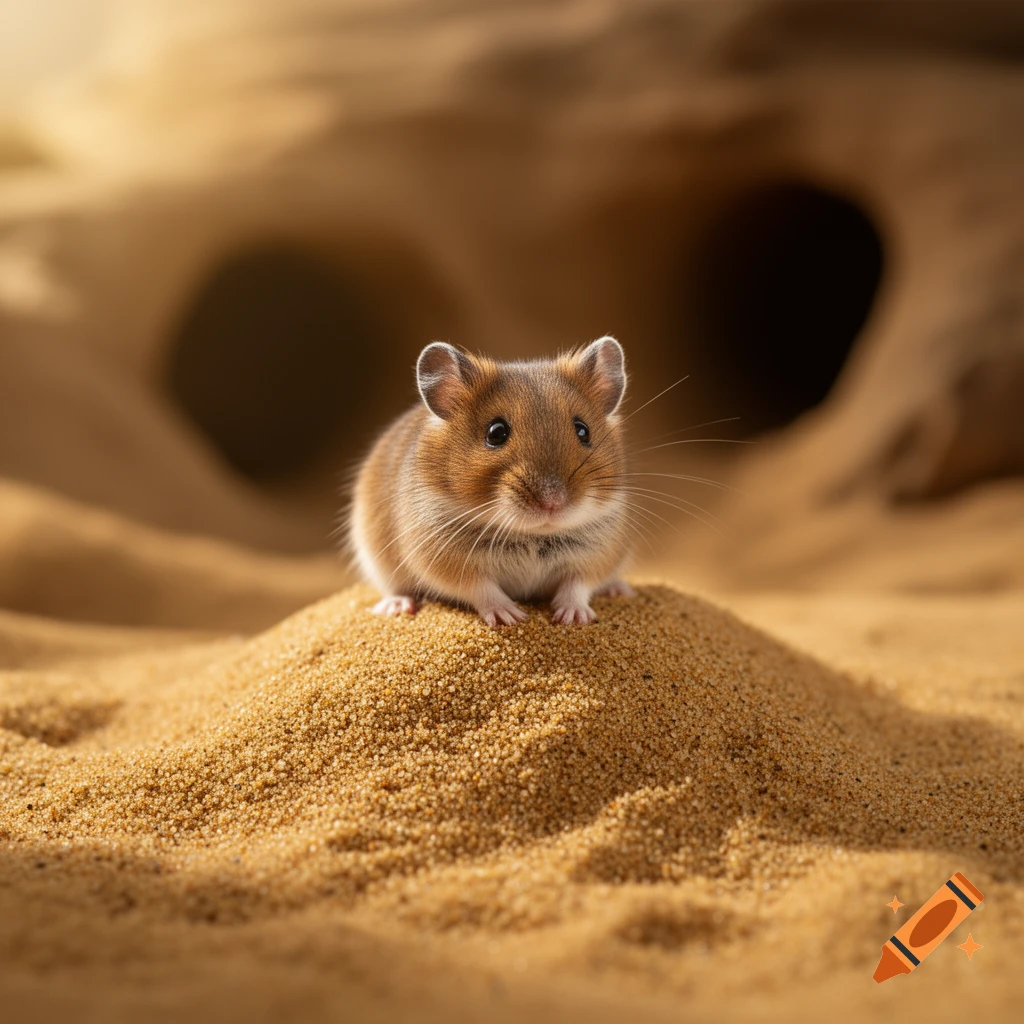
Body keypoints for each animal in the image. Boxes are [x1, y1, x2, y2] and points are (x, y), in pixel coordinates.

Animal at [348, 336, 634, 626]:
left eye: (583, 430)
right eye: (496, 433)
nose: (553, 502)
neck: (533, 534)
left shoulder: (602, 553)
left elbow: (577, 585)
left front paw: (574, 618)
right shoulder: (444, 559)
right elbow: (481, 588)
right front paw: (511, 617)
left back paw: (618, 589)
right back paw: (397, 605)